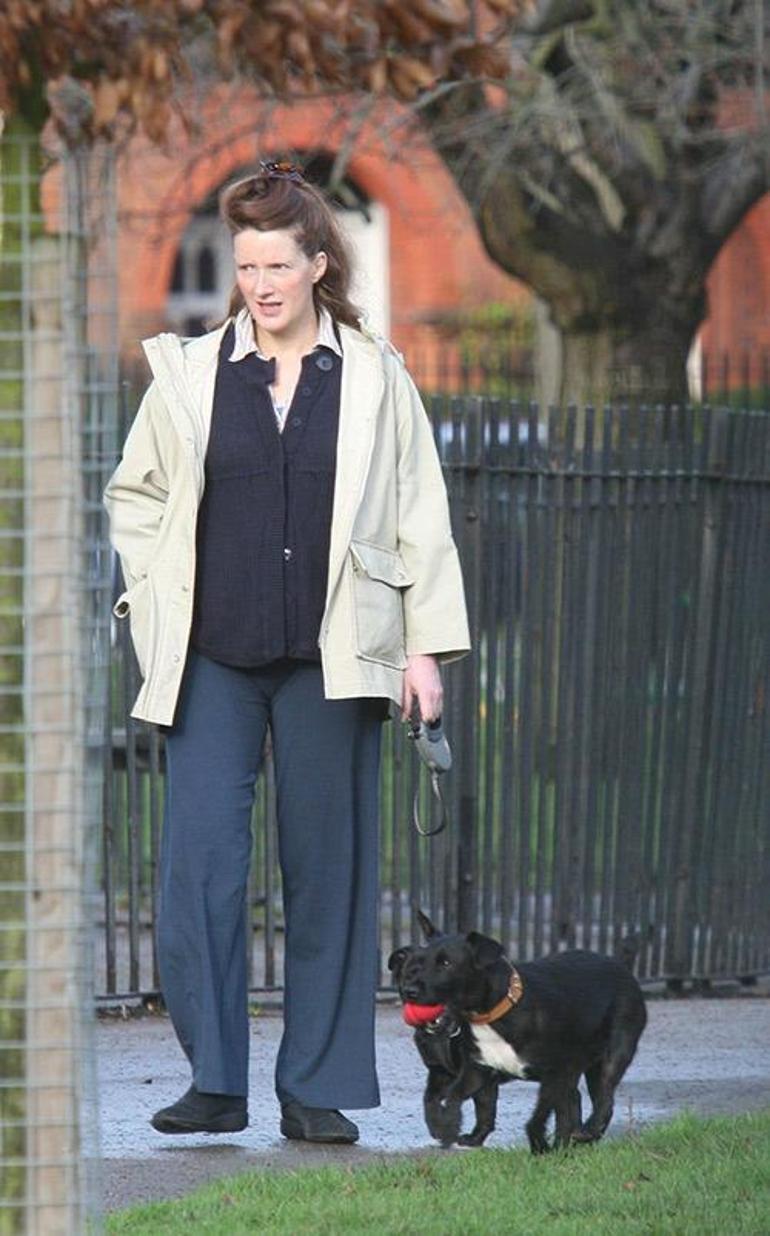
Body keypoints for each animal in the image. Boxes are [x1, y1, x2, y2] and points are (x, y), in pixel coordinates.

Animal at [389, 912, 647, 1153]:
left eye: (445, 963)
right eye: (413, 967)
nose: (410, 991)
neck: (494, 1014)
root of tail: (621, 965)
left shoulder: (557, 1074)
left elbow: (537, 1117)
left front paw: (540, 1145)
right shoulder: (476, 1071)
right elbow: (453, 1098)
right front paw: (448, 1127)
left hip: (613, 1055)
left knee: (604, 1099)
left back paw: (585, 1133)